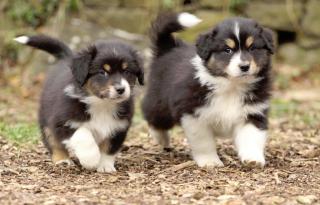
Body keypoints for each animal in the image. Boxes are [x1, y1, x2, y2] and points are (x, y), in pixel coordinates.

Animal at [14, 34, 144, 171]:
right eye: (102, 72)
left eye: (127, 71)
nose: (121, 89)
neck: (102, 104)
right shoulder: (62, 122)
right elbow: (83, 133)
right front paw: (91, 159)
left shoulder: (118, 128)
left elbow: (109, 148)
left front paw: (105, 166)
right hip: (46, 122)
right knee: (53, 143)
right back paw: (62, 160)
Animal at [141, 12, 274, 167]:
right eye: (227, 50)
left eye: (252, 48)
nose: (244, 66)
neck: (232, 86)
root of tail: (168, 48)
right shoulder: (194, 114)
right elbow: (204, 142)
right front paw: (210, 161)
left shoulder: (253, 112)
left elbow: (251, 137)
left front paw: (253, 159)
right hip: (160, 102)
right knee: (153, 116)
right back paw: (161, 138)